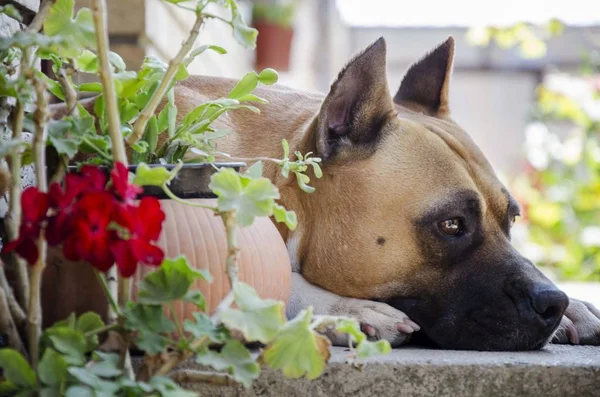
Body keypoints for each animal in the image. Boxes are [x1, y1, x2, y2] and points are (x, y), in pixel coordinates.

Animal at [43, 35, 600, 348]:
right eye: (451, 225)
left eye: (512, 219)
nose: (552, 301)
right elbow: (262, 281)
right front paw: (345, 312)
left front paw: (577, 307)